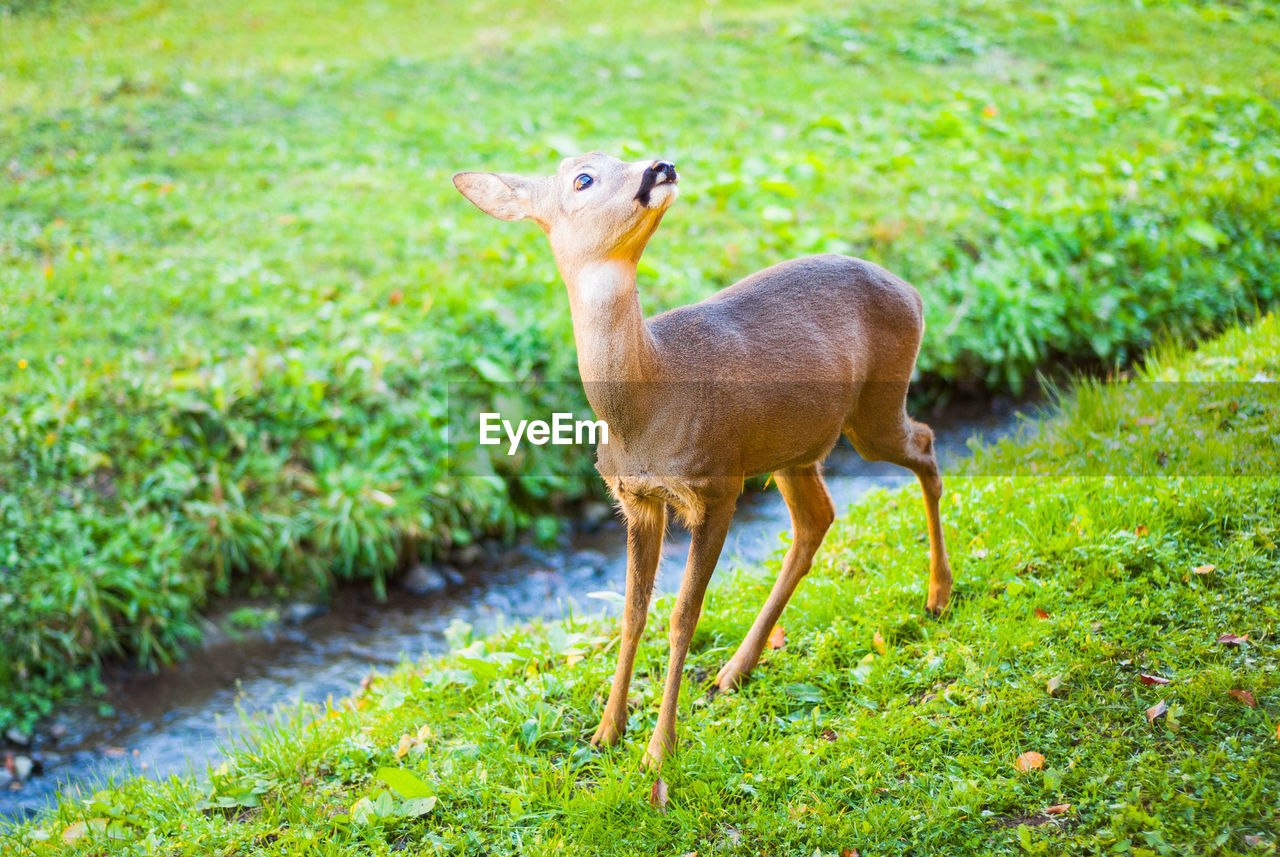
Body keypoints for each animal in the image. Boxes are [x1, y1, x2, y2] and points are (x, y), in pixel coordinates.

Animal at [453, 152, 952, 772]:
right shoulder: (636, 499)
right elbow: (631, 613)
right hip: (792, 445)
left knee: (925, 443)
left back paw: (937, 596)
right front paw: (606, 732)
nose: (660, 165)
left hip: (873, 410)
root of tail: (915, 292)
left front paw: (658, 751)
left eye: (625, 154)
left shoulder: (718, 486)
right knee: (818, 518)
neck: (649, 405)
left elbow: (682, 615)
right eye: (583, 178)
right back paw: (734, 671)